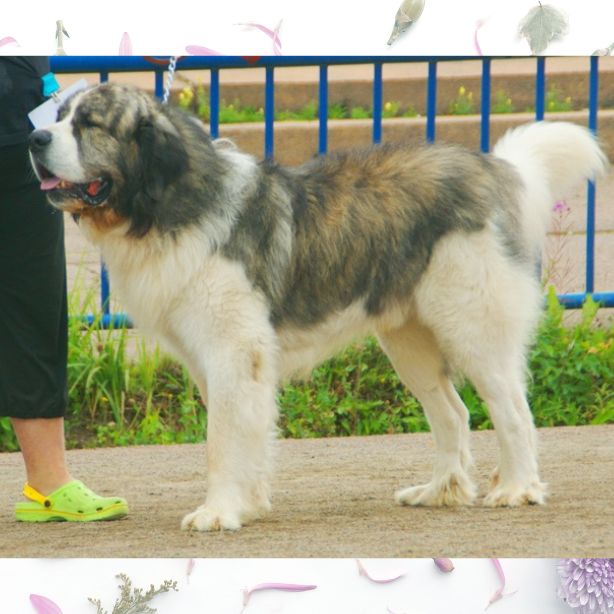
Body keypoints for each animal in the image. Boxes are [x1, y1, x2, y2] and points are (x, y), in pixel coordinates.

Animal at [30, 82, 612, 532]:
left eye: (89, 123)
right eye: (57, 117)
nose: (34, 138)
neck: (167, 205)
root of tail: (493, 168)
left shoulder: (233, 352)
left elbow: (222, 439)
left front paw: (218, 512)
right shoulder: (215, 360)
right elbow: (245, 430)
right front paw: (250, 503)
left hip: (472, 326)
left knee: (512, 410)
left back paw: (516, 488)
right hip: (409, 342)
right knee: (454, 413)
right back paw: (439, 491)